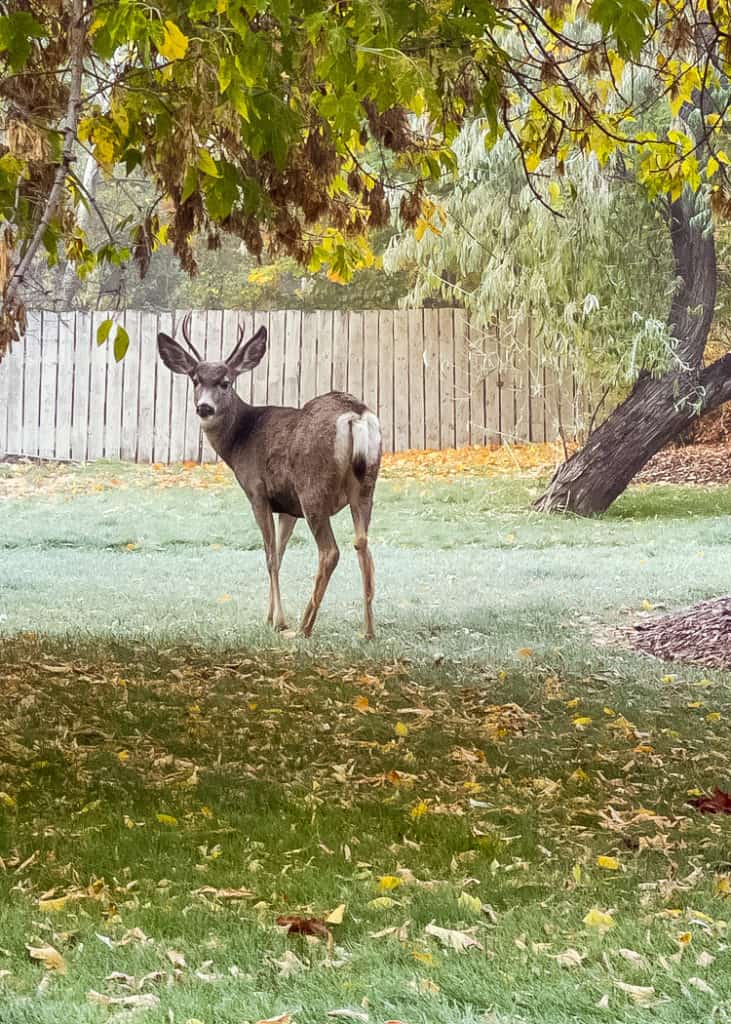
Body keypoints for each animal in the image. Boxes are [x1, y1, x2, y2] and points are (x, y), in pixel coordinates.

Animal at [156, 314, 382, 638]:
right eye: (195, 380)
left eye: (225, 382)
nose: (204, 407)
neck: (241, 438)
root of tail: (356, 414)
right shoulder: (288, 506)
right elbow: (281, 553)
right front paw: (270, 615)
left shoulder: (257, 492)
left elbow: (269, 556)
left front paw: (278, 621)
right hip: (366, 486)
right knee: (362, 544)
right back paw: (368, 630)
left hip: (312, 488)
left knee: (330, 552)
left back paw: (303, 627)